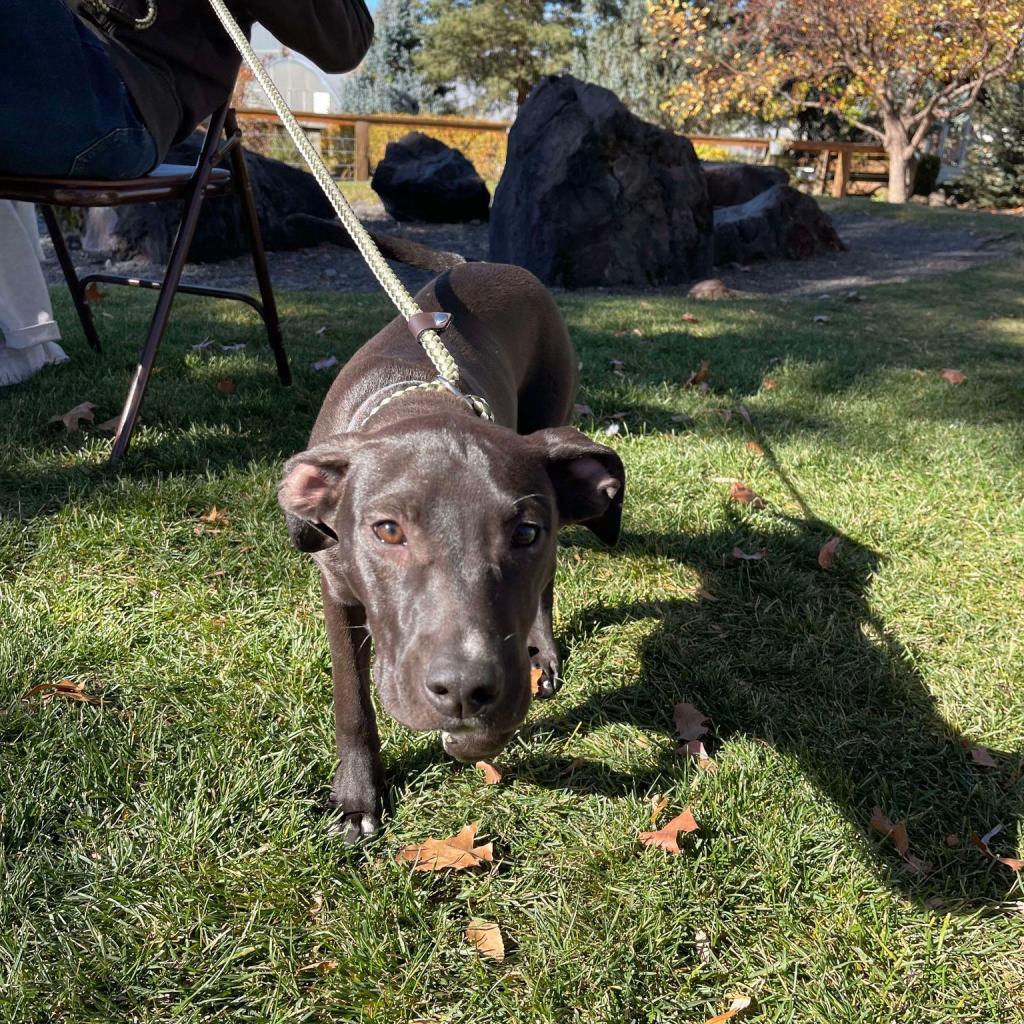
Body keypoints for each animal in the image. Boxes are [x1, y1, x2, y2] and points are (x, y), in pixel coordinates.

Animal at [284, 262, 626, 839]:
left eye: (525, 534)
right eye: (388, 531)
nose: (463, 689)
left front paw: (474, 733)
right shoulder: (337, 588)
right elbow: (352, 701)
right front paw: (357, 797)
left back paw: (544, 653)